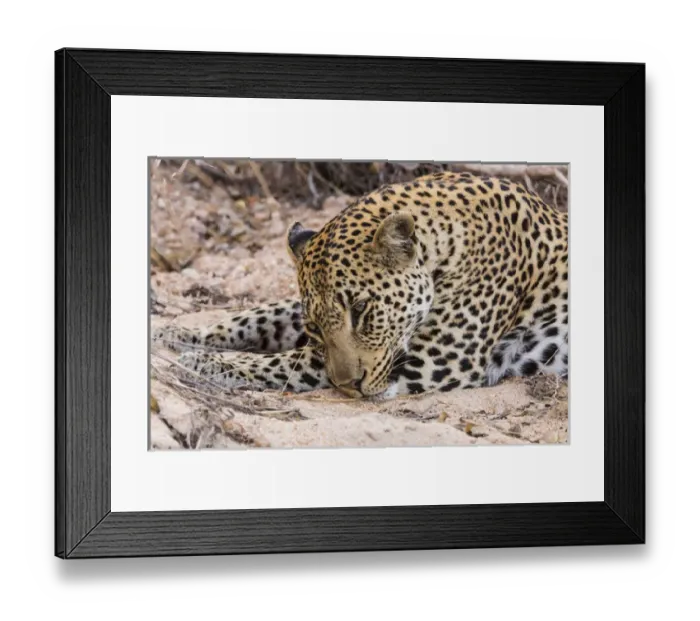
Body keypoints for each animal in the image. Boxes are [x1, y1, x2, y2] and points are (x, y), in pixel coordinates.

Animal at [154, 171, 569, 399]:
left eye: (362, 310)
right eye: (314, 326)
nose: (348, 385)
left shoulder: (437, 359)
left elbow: (291, 361)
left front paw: (205, 361)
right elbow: (261, 316)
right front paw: (178, 335)